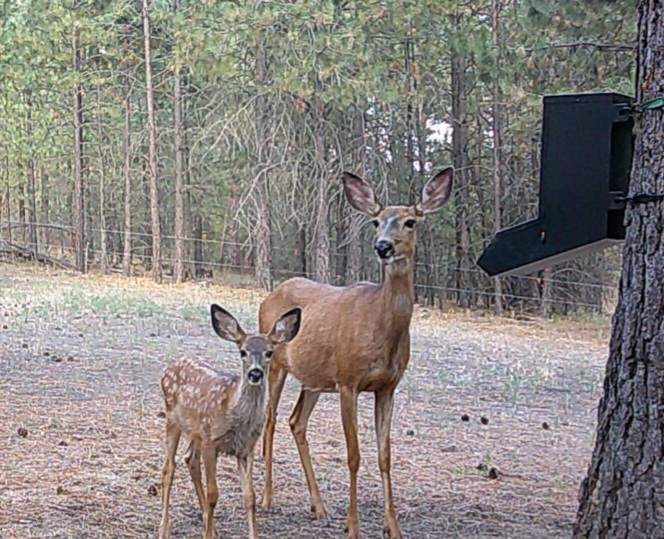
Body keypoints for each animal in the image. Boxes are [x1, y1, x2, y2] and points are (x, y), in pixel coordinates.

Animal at [158, 304, 302, 539]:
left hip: (196, 431)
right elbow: (213, 494)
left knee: (189, 459)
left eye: (269, 352)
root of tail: (170, 365)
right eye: (242, 351)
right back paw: (164, 528)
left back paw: (208, 523)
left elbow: (250, 497)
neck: (236, 418)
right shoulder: (211, 441)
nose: (255, 373)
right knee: (169, 468)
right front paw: (207, 534)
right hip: (172, 419)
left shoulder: (246, 448)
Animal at [259, 167, 454, 538]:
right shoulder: (349, 381)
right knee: (270, 419)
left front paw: (393, 527)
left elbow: (384, 455)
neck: (382, 329)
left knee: (296, 422)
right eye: (376, 221)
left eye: (410, 221)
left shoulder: (388, 387)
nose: (383, 246)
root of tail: (271, 293)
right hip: (275, 362)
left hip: (315, 379)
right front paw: (353, 526)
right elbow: (354, 455)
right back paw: (266, 498)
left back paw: (318, 506)